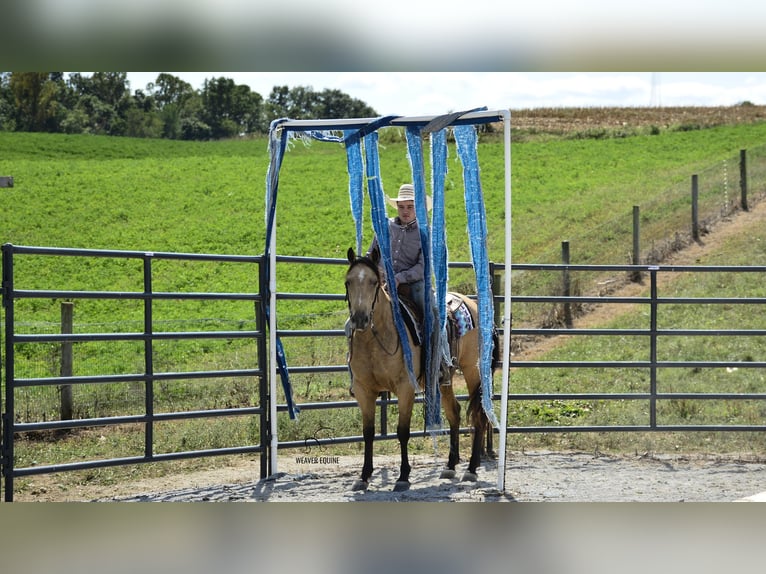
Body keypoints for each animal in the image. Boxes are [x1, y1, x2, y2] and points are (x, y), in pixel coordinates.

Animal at [344, 246, 495, 492]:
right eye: (348, 282)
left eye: (374, 282)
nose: (359, 318)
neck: (377, 340)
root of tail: (472, 304)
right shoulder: (363, 390)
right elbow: (368, 433)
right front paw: (364, 476)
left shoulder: (405, 388)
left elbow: (402, 431)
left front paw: (403, 476)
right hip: (444, 380)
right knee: (454, 413)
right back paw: (450, 466)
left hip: (473, 371)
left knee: (478, 416)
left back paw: (472, 469)